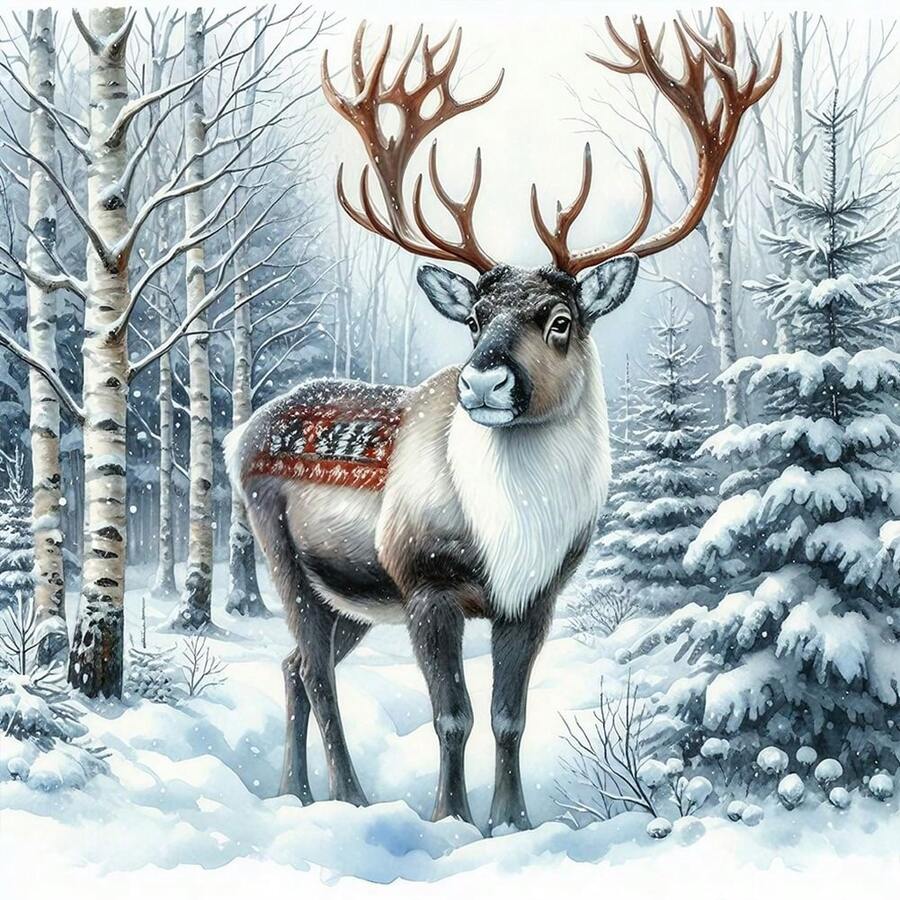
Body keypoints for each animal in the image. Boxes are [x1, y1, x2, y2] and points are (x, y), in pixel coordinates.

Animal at [226, 11, 780, 831]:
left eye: (560, 320)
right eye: (474, 319)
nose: (482, 378)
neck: (511, 533)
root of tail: (241, 430)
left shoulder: (535, 600)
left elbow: (509, 715)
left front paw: (512, 820)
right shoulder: (426, 583)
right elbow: (452, 714)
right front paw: (450, 819)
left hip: (350, 597)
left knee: (294, 664)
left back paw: (295, 792)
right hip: (284, 555)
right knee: (318, 674)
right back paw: (350, 798)